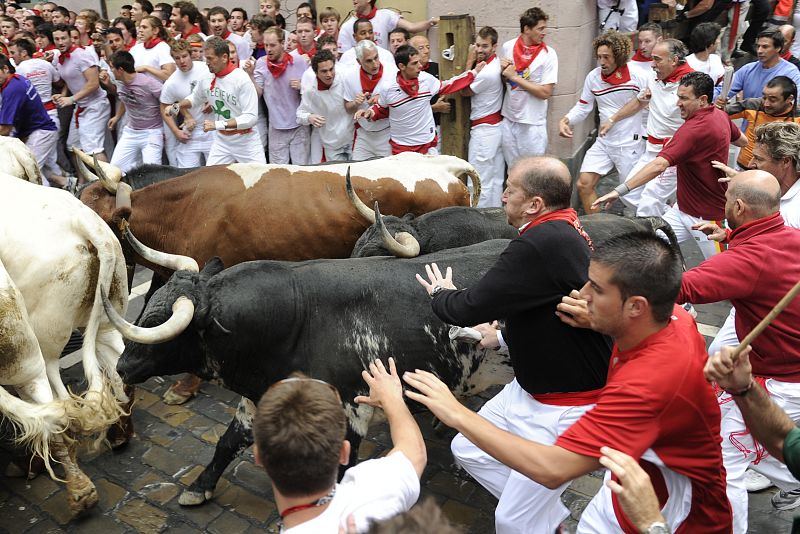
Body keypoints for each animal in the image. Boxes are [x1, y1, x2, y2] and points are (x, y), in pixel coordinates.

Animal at [0, 175, 130, 516]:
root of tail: (85, 224)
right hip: (106, 313)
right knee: (117, 361)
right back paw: (118, 434)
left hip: (39, 333)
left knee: (51, 397)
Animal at [104, 238, 512, 506]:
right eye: (148, 309)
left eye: (156, 324)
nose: (122, 367)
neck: (298, 318)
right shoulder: (257, 397)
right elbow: (228, 442)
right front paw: (199, 487)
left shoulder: (350, 410)